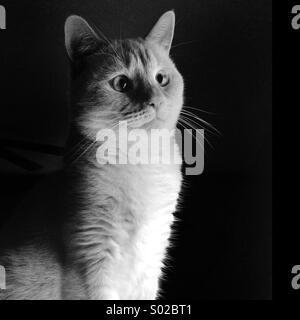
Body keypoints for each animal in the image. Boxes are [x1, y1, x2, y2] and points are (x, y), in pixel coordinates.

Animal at [0, 10, 185, 300]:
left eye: (161, 79)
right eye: (121, 83)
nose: (154, 100)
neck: (140, 160)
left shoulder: (152, 257)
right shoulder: (93, 262)